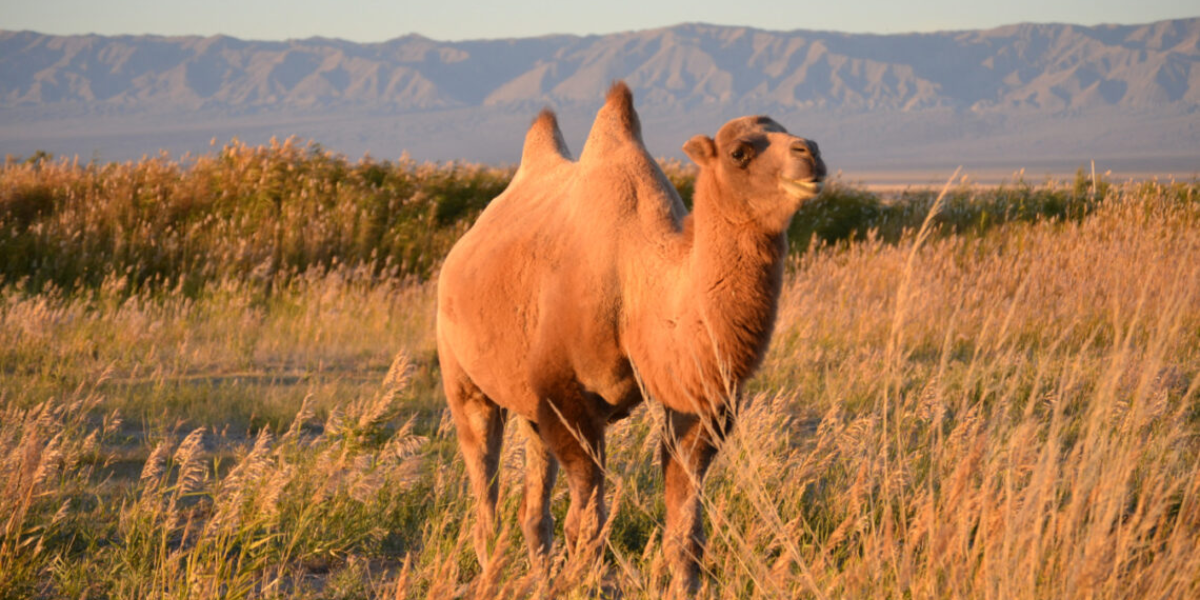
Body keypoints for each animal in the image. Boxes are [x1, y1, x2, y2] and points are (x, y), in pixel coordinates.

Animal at [439, 81, 825, 590]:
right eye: (740, 152)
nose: (811, 152)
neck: (638, 285)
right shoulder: (566, 397)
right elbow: (587, 523)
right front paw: (583, 586)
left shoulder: (697, 401)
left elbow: (685, 531)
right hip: (463, 379)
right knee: (486, 490)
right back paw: (493, 578)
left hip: (528, 407)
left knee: (533, 508)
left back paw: (540, 581)